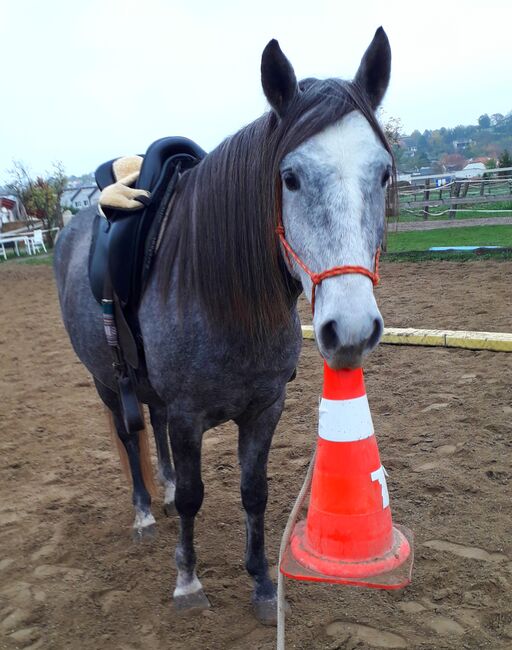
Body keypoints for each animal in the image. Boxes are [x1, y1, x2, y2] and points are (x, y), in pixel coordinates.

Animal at [54, 27, 394, 620]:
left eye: (383, 172)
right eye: (290, 178)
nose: (350, 329)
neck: (224, 298)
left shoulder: (264, 408)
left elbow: (253, 491)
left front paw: (262, 583)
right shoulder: (190, 414)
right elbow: (195, 496)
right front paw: (188, 581)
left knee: (153, 425)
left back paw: (162, 491)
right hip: (105, 382)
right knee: (129, 435)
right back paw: (145, 511)